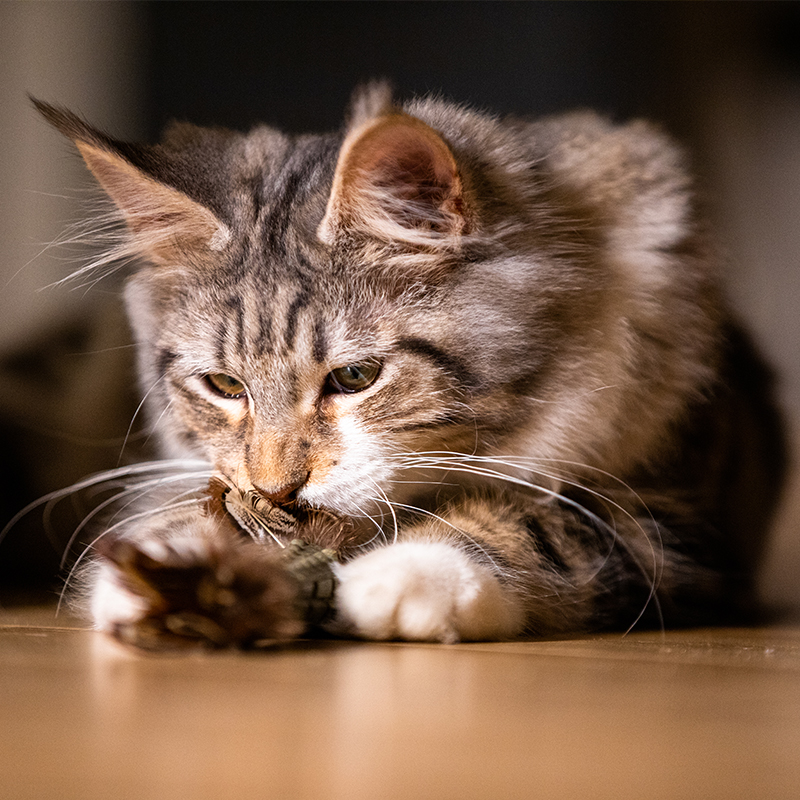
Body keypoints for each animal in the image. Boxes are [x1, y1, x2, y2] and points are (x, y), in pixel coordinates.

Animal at [34, 81, 784, 648]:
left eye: (355, 378)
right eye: (224, 385)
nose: (278, 491)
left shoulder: (674, 515)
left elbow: (534, 525)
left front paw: (405, 575)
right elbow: (194, 500)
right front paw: (167, 567)